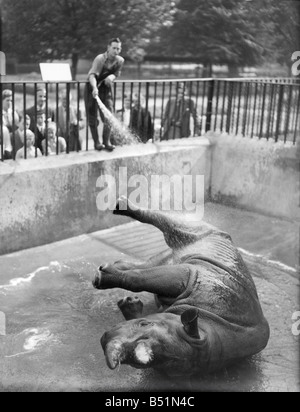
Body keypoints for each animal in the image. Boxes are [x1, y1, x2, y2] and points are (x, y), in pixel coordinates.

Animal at [93, 198, 270, 378]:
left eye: (144, 323)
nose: (105, 338)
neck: (207, 326)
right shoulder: (192, 276)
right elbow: (147, 278)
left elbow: (140, 279)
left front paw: (128, 302)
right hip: (205, 239)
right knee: (176, 231)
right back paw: (120, 208)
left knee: (154, 260)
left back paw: (102, 274)